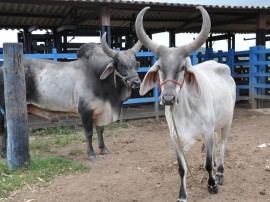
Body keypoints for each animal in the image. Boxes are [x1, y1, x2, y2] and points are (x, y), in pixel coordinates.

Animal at [136, 5, 235, 201]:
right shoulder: (175, 138)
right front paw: (182, 194)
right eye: (159, 67)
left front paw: (212, 185)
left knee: (221, 147)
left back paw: (219, 173)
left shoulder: (208, 132)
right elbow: (182, 168)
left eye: (182, 67)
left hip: (226, 122)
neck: (185, 113)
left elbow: (207, 162)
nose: (168, 99)